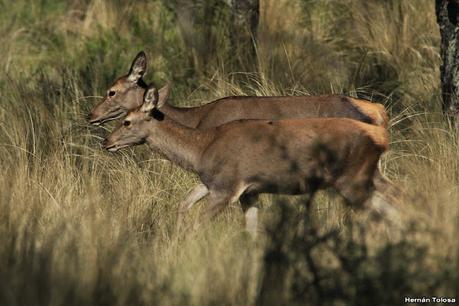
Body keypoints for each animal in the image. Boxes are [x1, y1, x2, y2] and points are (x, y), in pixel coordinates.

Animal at [102, 84, 398, 237]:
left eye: (127, 121)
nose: (106, 141)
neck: (200, 149)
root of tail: (381, 133)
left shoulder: (226, 188)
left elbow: (198, 225)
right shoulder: (246, 191)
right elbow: (250, 231)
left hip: (352, 180)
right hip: (370, 175)